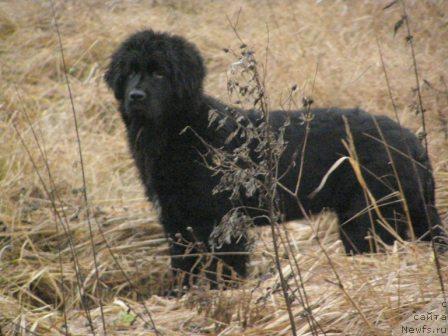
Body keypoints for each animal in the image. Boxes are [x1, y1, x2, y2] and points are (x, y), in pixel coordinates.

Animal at [106, 30, 444, 284]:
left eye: (159, 73)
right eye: (131, 71)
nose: (136, 97)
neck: (181, 129)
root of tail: (412, 142)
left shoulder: (223, 220)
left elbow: (223, 270)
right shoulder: (177, 220)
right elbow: (183, 269)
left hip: (368, 216)